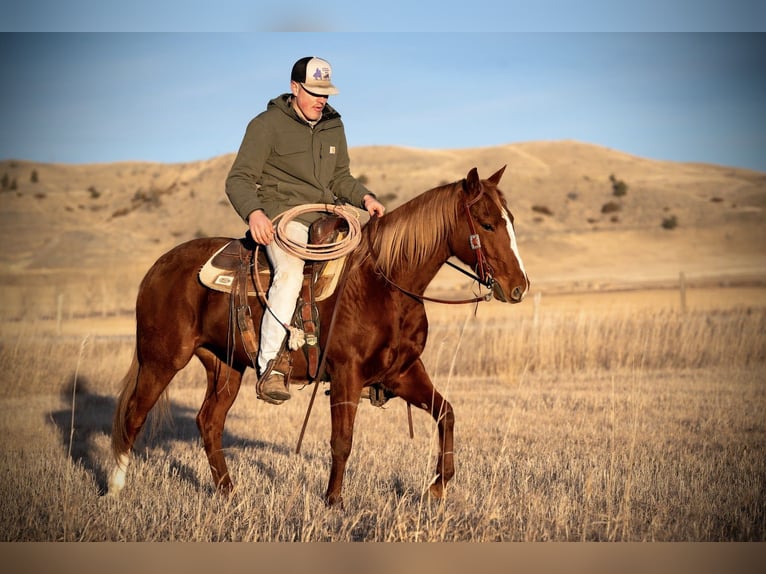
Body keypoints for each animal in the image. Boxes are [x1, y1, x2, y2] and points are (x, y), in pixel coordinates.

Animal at [108, 166, 529, 507]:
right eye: (487, 224)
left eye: (510, 220)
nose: (519, 287)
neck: (383, 283)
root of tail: (157, 268)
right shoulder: (346, 374)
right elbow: (342, 441)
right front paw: (334, 502)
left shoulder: (403, 373)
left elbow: (447, 413)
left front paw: (437, 487)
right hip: (161, 359)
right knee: (134, 415)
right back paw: (115, 488)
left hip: (225, 365)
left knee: (208, 422)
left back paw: (229, 494)